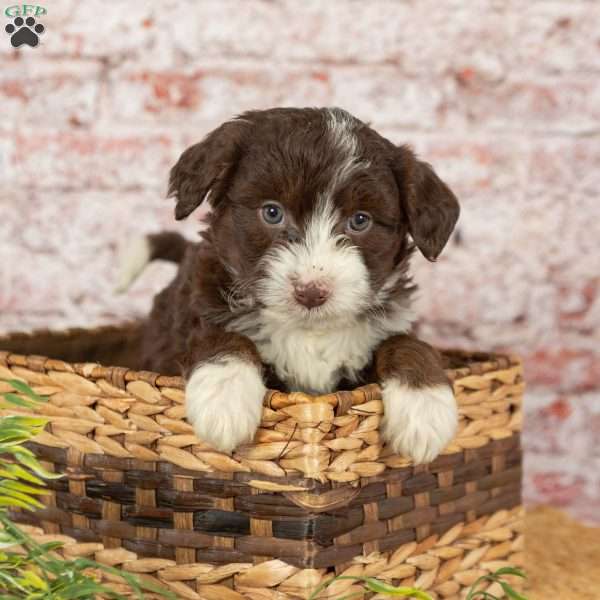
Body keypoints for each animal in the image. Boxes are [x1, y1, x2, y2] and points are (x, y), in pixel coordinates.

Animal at [120, 106, 460, 464]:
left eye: (360, 220)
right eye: (272, 212)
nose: (311, 292)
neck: (307, 332)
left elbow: (405, 343)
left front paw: (425, 407)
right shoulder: (195, 310)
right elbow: (220, 334)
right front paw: (224, 396)